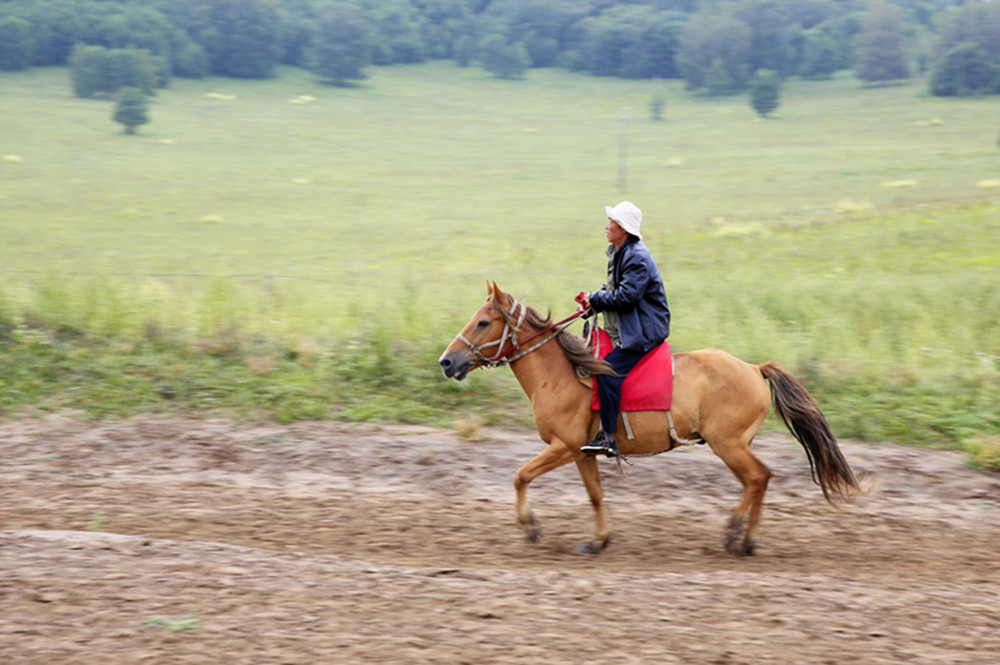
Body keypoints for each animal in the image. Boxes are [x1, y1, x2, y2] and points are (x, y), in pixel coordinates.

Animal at [442, 280, 864, 556]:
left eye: (483, 322)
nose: (447, 361)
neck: (561, 374)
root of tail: (754, 368)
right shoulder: (581, 452)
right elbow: (595, 494)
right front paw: (599, 540)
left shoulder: (563, 447)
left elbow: (520, 475)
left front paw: (530, 527)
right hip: (733, 444)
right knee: (756, 481)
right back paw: (744, 538)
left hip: (728, 444)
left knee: (759, 477)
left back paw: (737, 536)